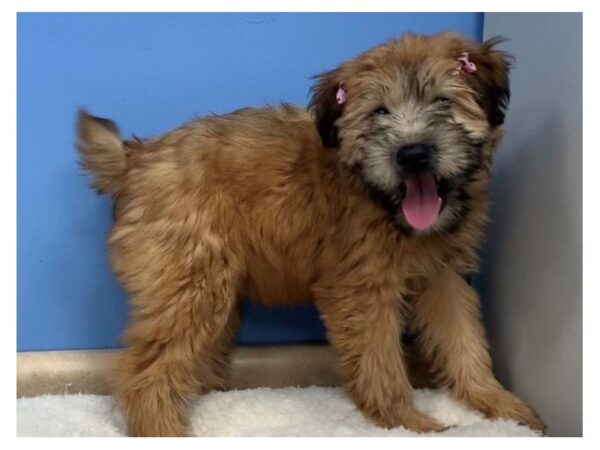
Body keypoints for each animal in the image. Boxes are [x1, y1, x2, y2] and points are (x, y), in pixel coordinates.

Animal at [77, 31, 548, 436]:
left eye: (443, 102)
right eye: (379, 112)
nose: (412, 153)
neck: (382, 201)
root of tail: (137, 158)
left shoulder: (444, 278)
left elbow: (464, 341)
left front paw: (499, 404)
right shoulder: (362, 290)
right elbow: (381, 360)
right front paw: (407, 422)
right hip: (190, 284)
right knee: (147, 372)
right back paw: (163, 427)